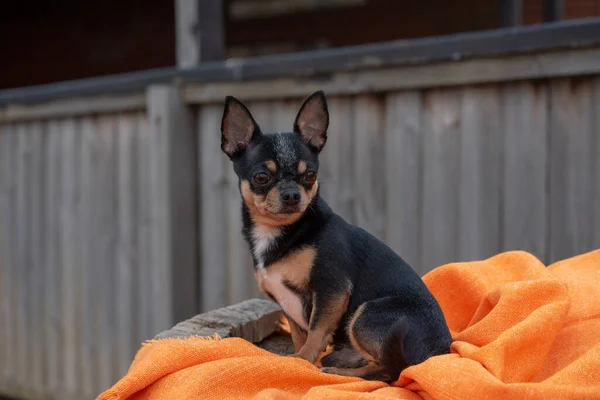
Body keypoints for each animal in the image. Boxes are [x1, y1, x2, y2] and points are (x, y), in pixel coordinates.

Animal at [220, 90, 450, 382]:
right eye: (261, 177)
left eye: (310, 175)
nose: (292, 194)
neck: (282, 232)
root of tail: (438, 356)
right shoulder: (288, 303)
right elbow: (300, 334)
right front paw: (300, 356)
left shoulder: (331, 289)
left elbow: (316, 331)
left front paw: (301, 361)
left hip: (367, 314)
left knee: (386, 371)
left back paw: (339, 371)